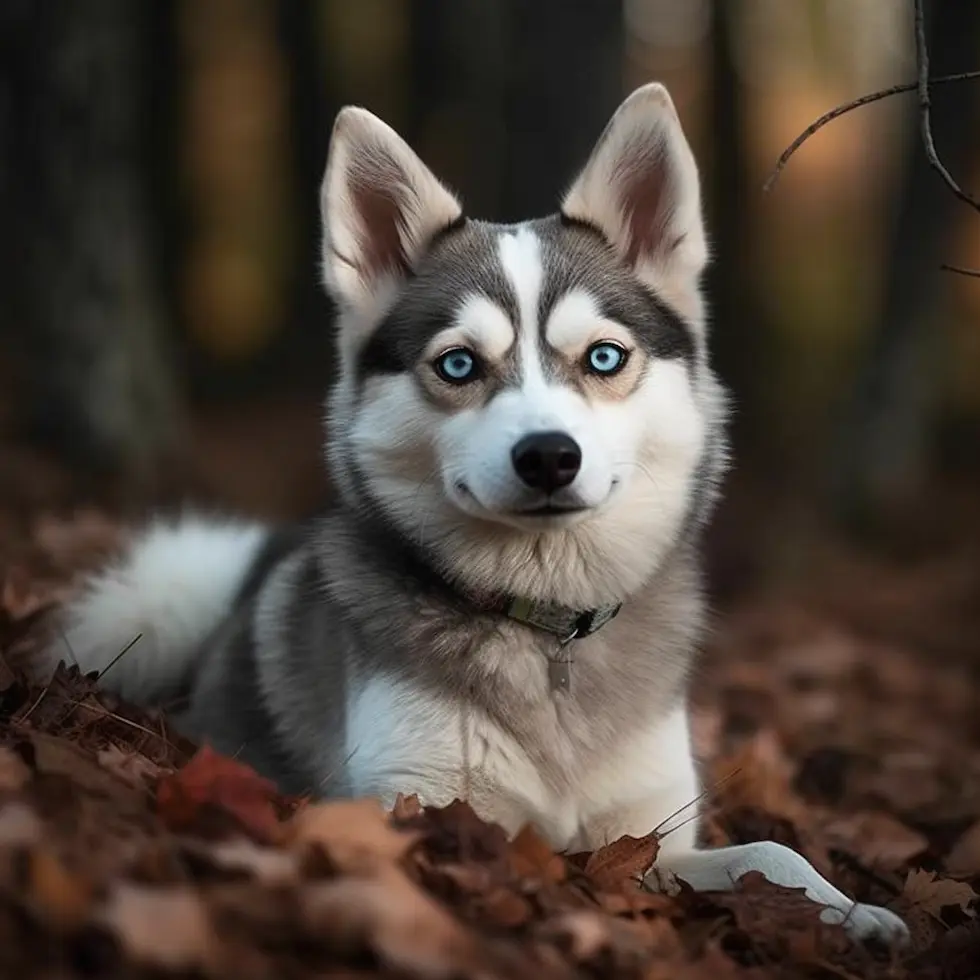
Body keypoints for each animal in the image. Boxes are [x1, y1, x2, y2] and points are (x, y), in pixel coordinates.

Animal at [44, 84, 904, 940]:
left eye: (604, 357)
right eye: (459, 365)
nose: (549, 455)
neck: (546, 628)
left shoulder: (650, 837)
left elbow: (769, 853)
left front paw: (853, 910)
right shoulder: (417, 803)